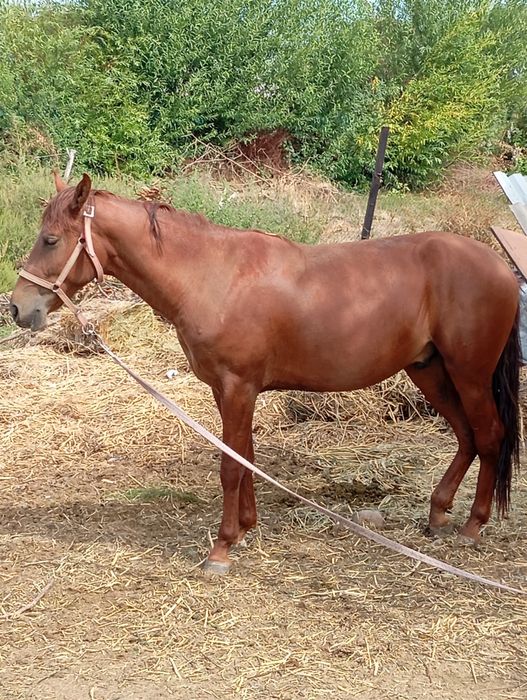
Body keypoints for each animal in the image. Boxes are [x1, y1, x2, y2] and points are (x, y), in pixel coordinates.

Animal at [10, 173, 521, 574]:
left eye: (50, 239)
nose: (17, 307)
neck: (212, 275)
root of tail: (499, 268)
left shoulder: (239, 387)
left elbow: (230, 466)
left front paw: (220, 549)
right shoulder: (228, 390)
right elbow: (244, 456)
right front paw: (245, 529)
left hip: (469, 375)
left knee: (489, 436)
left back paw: (473, 526)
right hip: (429, 371)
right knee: (467, 437)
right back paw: (438, 515)